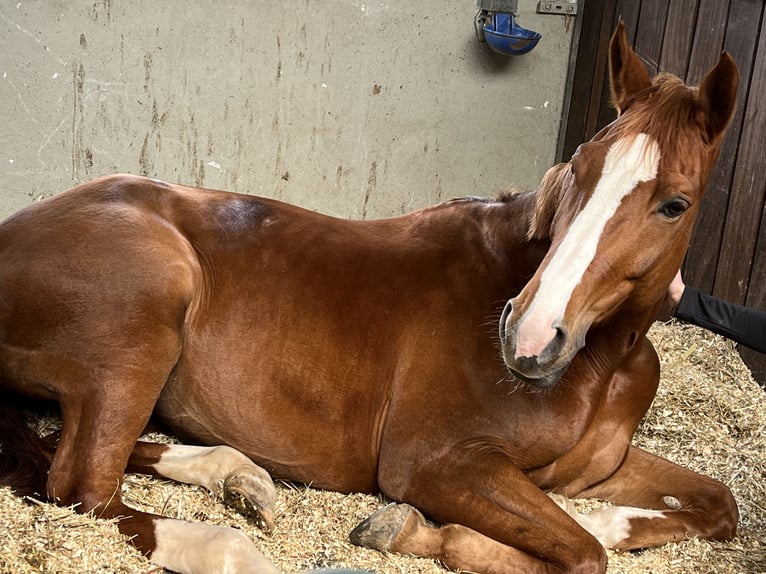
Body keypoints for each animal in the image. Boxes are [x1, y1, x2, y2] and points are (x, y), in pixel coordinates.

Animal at [0, 23, 744, 574]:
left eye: (674, 204)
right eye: (579, 168)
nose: (529, 336)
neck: (603, 360)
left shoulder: (598, 468)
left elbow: (717, 506)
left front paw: (604, 519)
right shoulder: (438, 462)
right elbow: (582, 554)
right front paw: (417, 533)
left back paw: (242, 480)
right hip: (142, 325)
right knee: (83, 488)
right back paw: (231, 547)